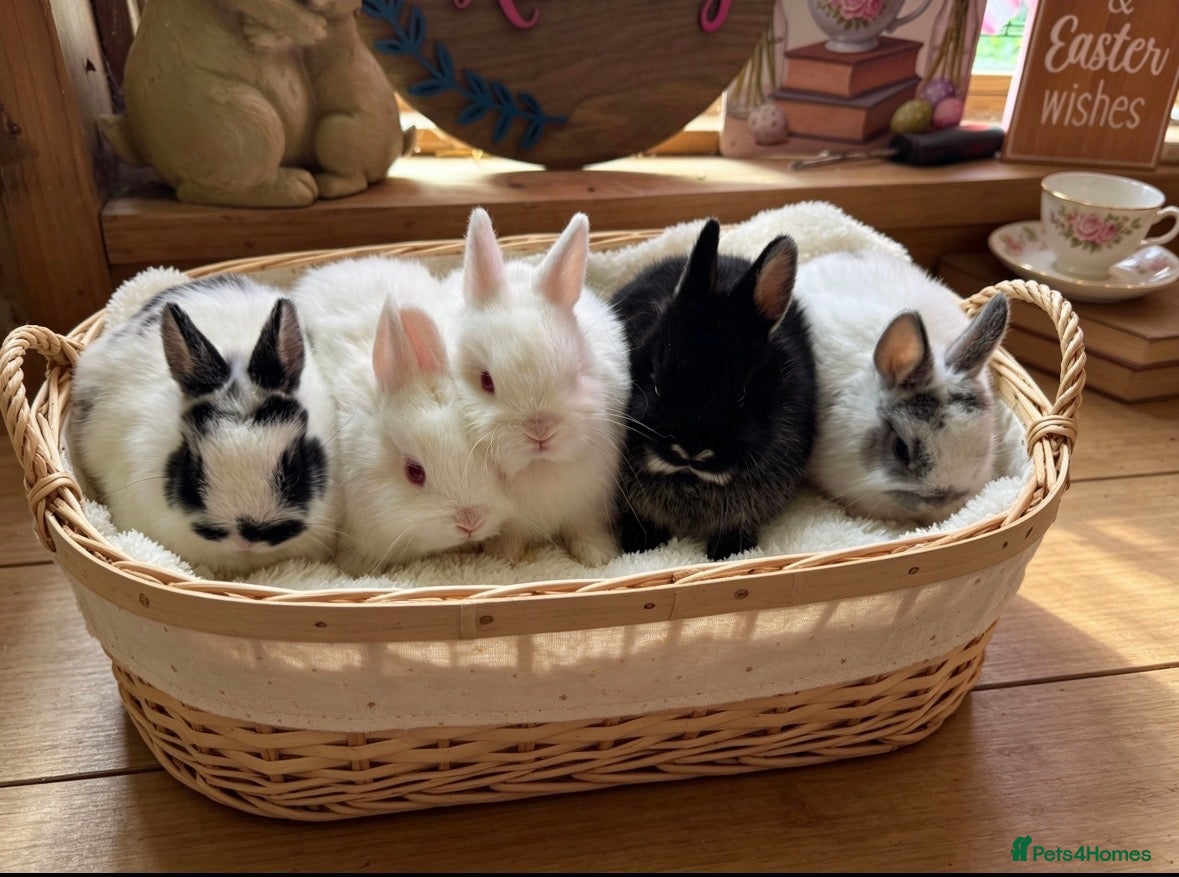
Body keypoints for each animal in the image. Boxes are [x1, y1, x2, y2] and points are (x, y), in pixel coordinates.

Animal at [442, 207, 631, 566]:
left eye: (576, 374)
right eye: (486, 381)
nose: (540, 430)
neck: (539, 468)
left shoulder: (589, 506)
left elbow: (586, 529)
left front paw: (598, 556)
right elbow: (511, 536)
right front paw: (506, 556)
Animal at [609, 217, 818, 562]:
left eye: (743, 394)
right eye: (655, 382)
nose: (692, 449)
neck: (689, 478)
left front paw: (729, 553)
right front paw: (642, 545)